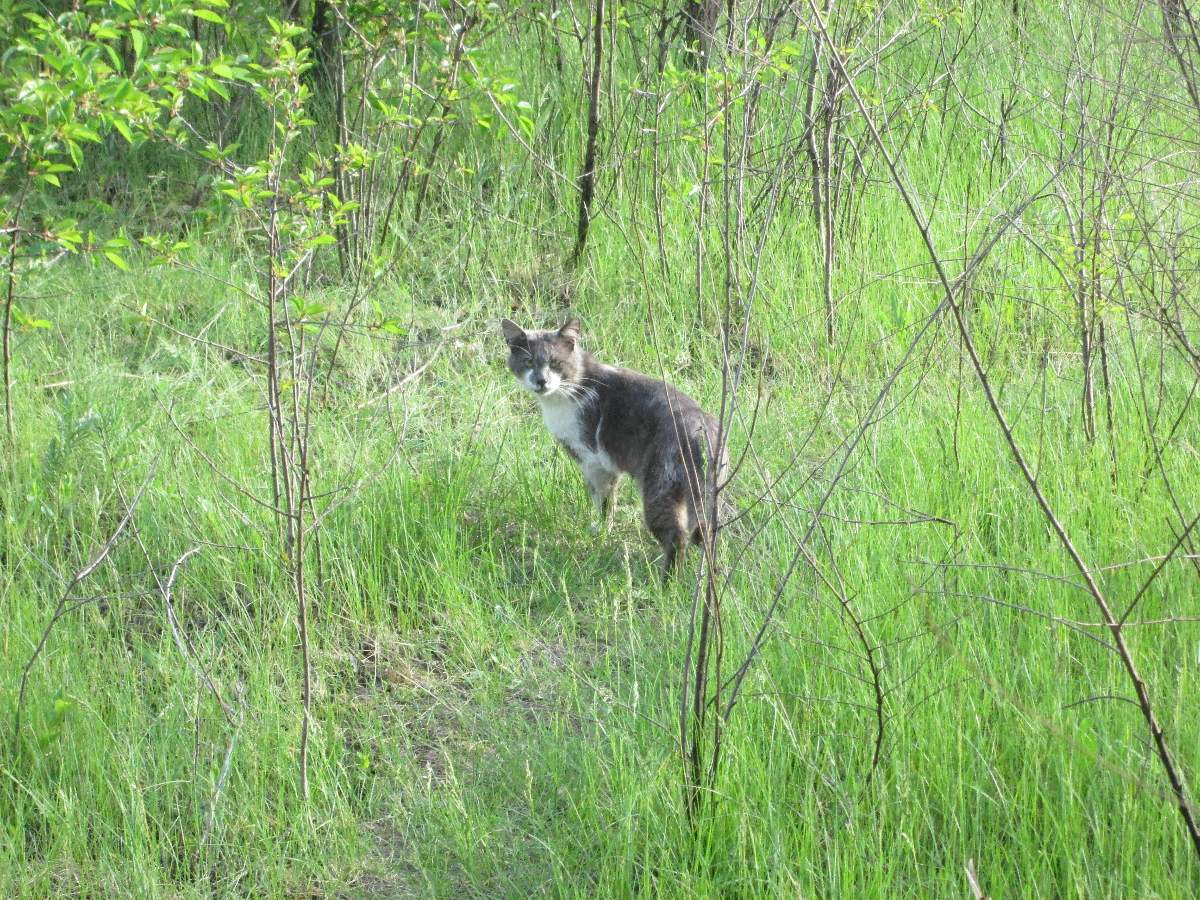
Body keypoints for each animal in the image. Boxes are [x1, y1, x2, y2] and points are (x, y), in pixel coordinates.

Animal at [501, 316, 724, 580]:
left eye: (555, 362)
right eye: (528, 361)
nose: (541, 381)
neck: (573, 388)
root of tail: (699, 430)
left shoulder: (594, 462)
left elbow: (602, 500)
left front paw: (598, 531)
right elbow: (610, 500)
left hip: (661, 486)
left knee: (676, 536)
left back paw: (667, 583)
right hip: (706, 495)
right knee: (707, 533)